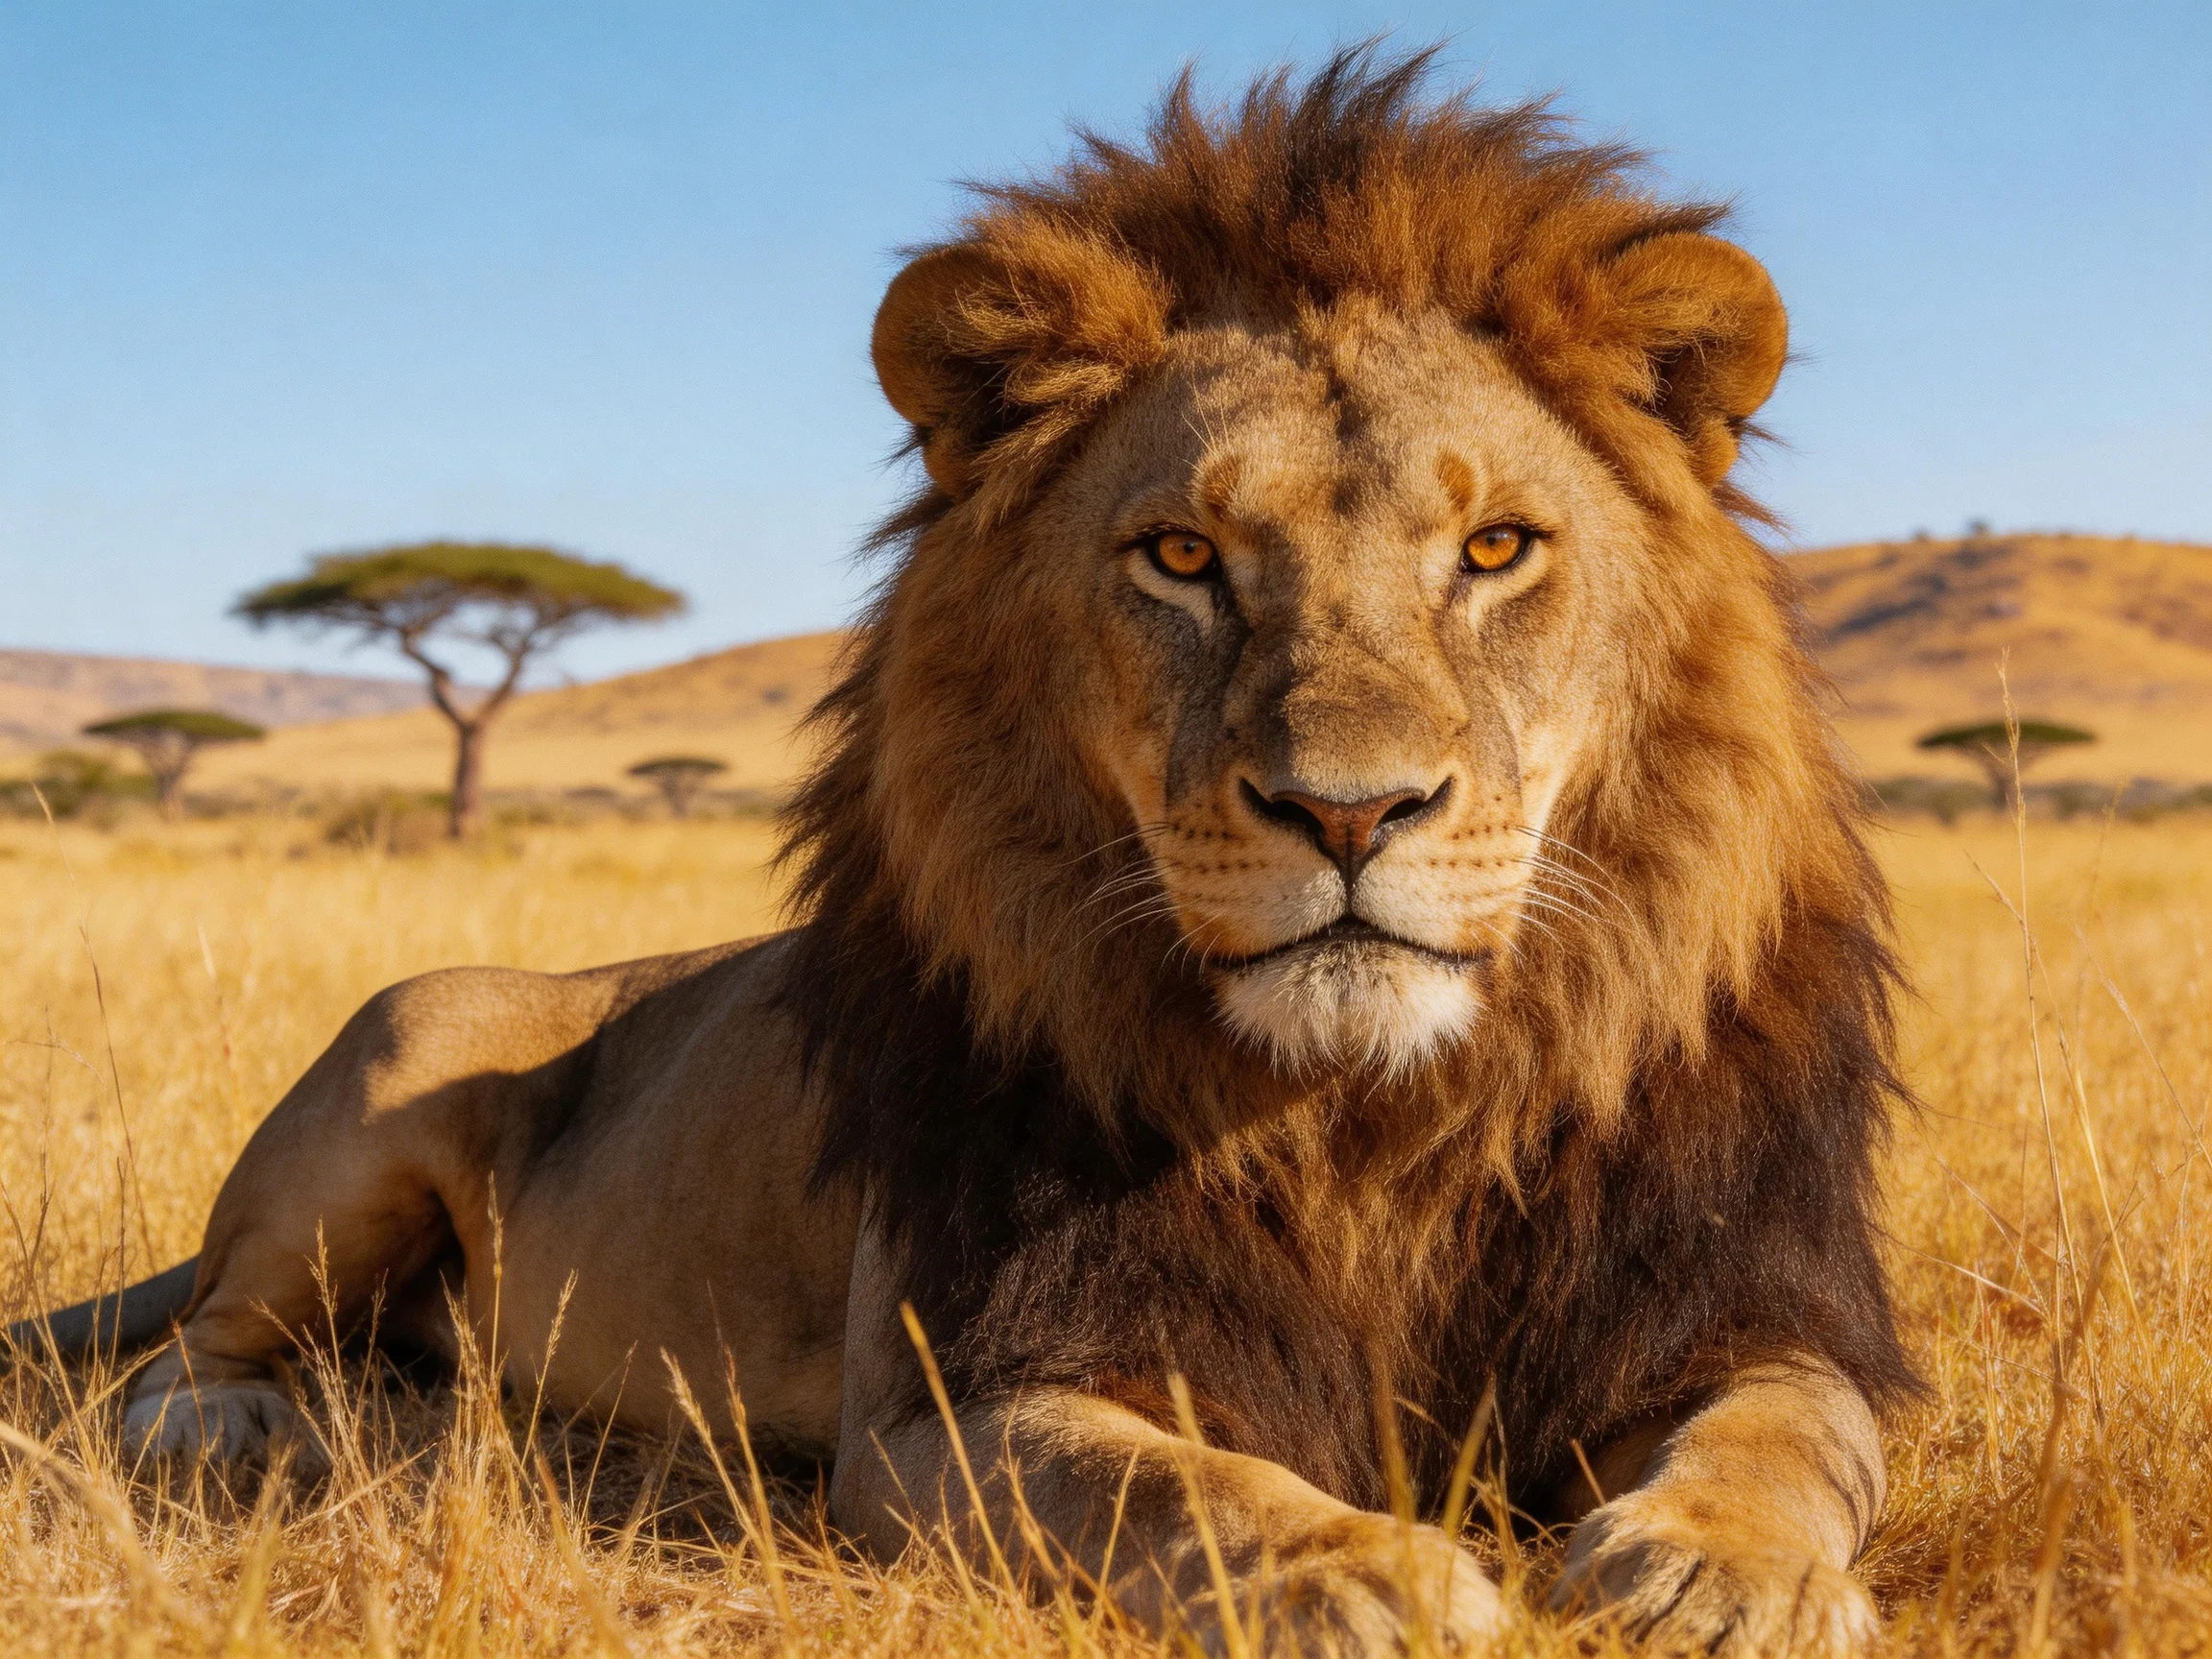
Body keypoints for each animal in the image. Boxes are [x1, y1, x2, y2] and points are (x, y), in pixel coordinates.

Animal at [10, 51, 1913, 1655]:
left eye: (1497, 548)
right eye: (1180, 555)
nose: (1349, 812)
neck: (1370, 1124)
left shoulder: (1741, 1308)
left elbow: (1785, 1434)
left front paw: (1715, 1575)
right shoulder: (949, 1400)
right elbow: (1167, 1482)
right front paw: (1355, 1566)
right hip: (397, 1049)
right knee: (179, 1358)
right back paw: (250, 1422)